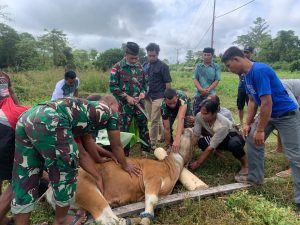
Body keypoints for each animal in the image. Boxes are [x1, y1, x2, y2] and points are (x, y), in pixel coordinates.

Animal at [47, 128, 192, 225]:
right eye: (180, 134)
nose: (188, 128)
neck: (171, 167)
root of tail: (50, 187)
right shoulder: (152, 178)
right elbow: (152, 200)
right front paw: (146, 218)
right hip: (89, 190)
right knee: (105, 218)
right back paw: (131, 220)